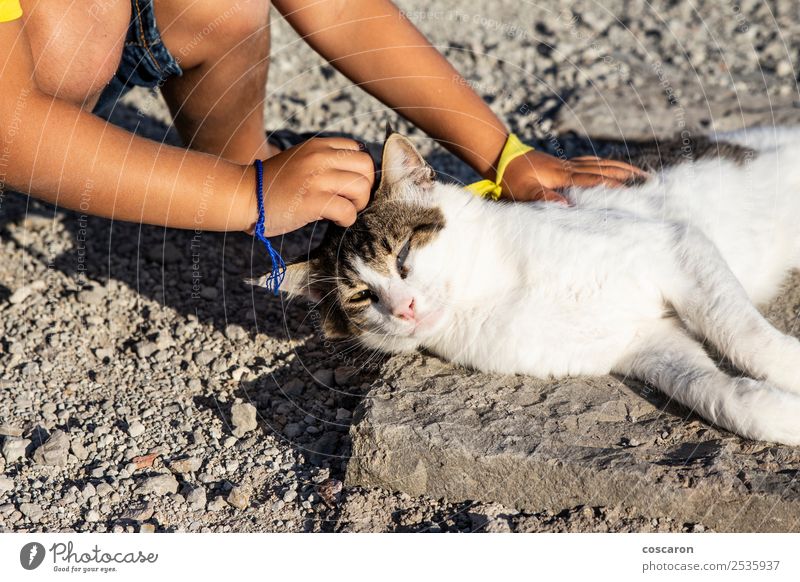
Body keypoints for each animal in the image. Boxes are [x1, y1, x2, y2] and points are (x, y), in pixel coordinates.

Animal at [253, 126, 800, 448]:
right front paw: (783, 415)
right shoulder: (648, 344)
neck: (490, 296)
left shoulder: (676, 246)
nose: (404, 307)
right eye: (362, 297)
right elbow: (721, 394)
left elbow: (745, 336)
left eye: (404, 254)